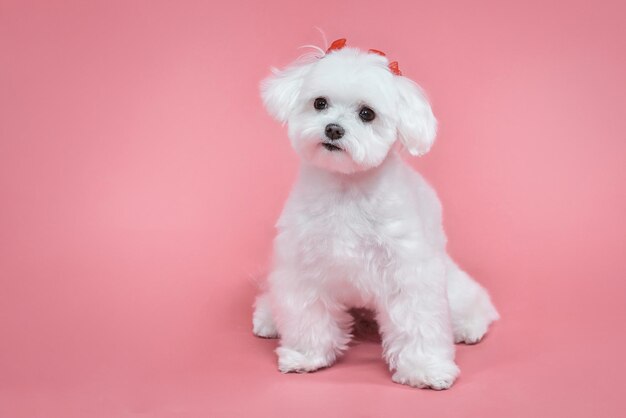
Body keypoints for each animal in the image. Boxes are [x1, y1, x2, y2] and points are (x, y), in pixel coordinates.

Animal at [251, 38, 494, 388]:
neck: (347, 191)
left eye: (367, 114)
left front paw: (425, 368)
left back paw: (470, 325)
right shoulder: (303, 267)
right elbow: (307, 315)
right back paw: (269, 318)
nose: (333, 129)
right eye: (320, 103)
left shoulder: (409, 271)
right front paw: (306, 355)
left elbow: (419, 320)